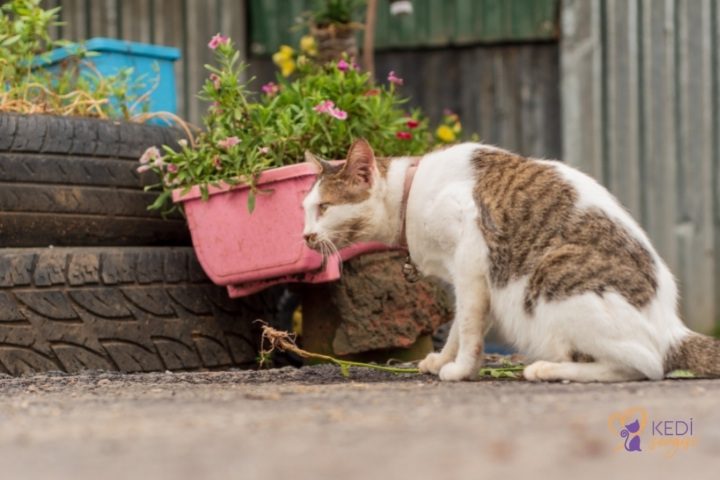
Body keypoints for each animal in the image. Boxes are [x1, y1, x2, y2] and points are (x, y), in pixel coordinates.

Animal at [300, 139, 720, 382]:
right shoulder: (466, 277)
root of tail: (671, 326)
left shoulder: (471, 256)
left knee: (644, 366)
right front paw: (442, 360)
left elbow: (468, 326)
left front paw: (460, 370)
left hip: (550, 279)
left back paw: (547, 370)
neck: (410, 192)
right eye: (305, 208)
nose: (304, 236)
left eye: (324, 208)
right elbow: (458, 325)